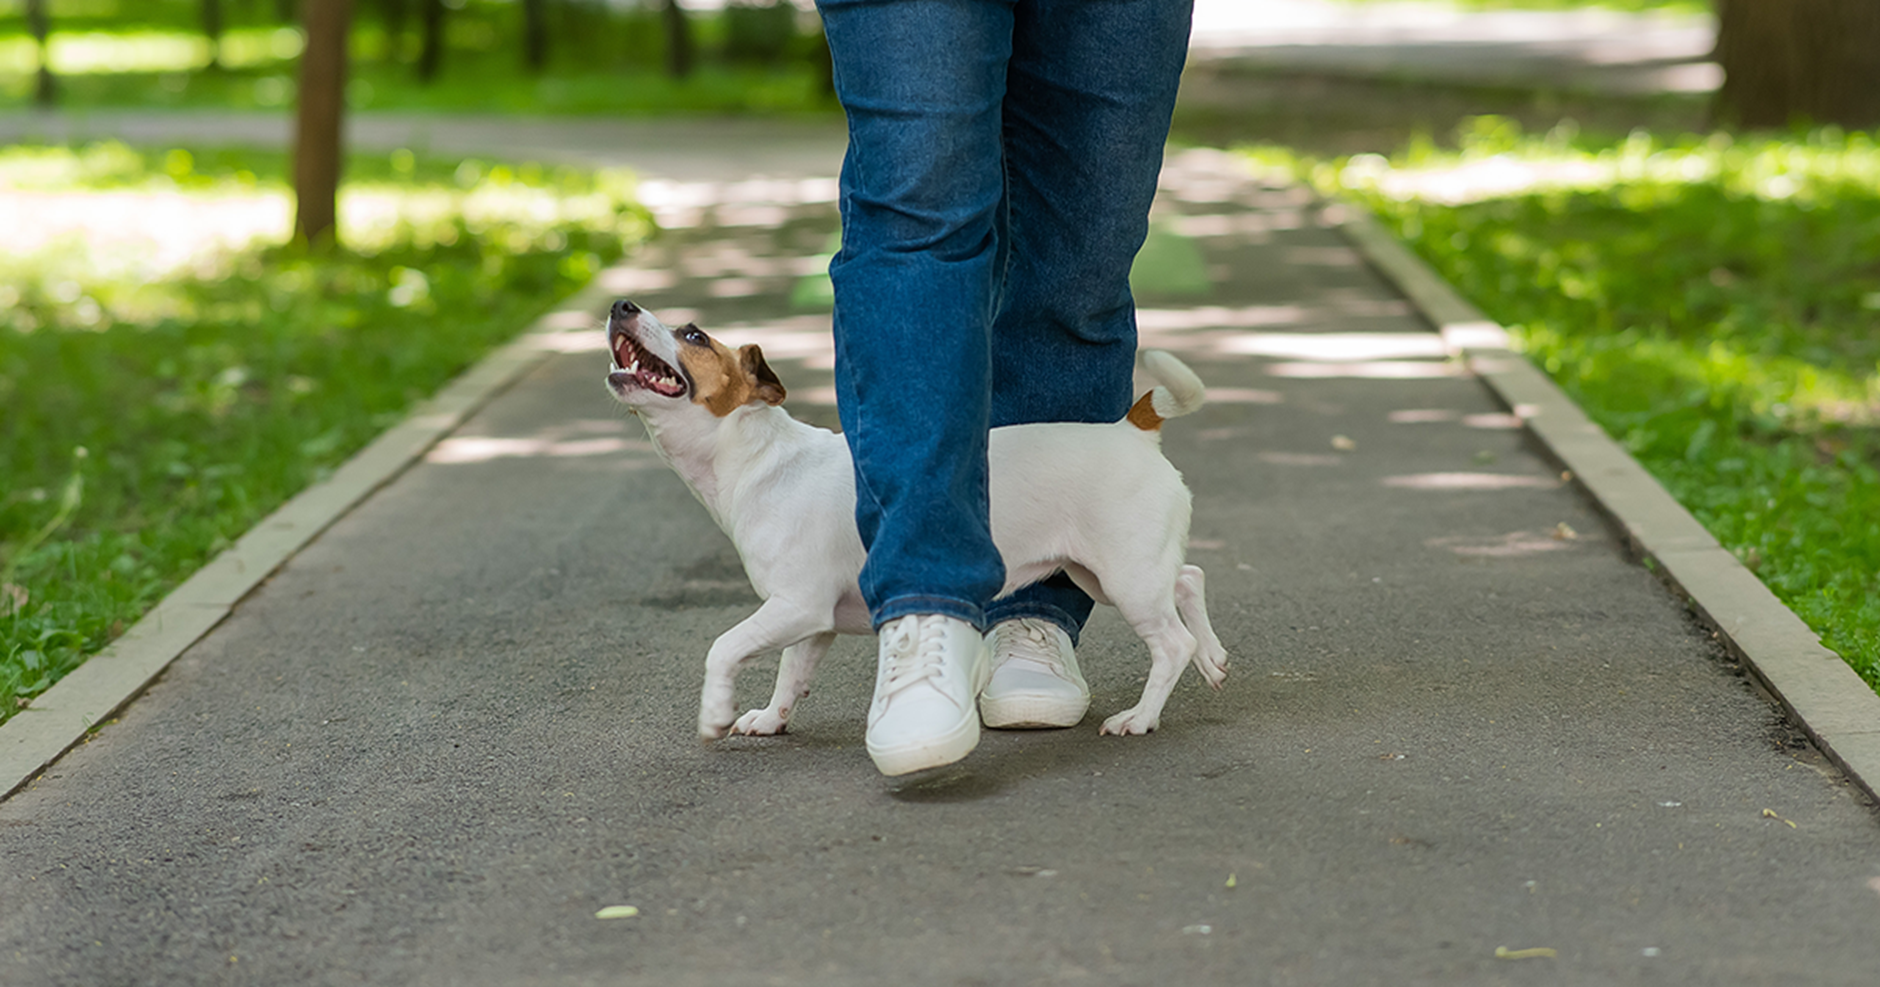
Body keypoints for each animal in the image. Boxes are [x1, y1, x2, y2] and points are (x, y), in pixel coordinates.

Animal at [594, 300, 1225, 736]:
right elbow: (790, 674)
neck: (758, 459)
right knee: (1189, 580)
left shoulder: (795, 606)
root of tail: (1132, 429)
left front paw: (716, 711)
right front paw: (771, 718)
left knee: (1171, 643)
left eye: (694, 335)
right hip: (1105, 571)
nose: (622, 304)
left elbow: (725, 647)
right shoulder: (810, 621)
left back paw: (1141, 716)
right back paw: (1213, 657)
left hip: (1125, 576)